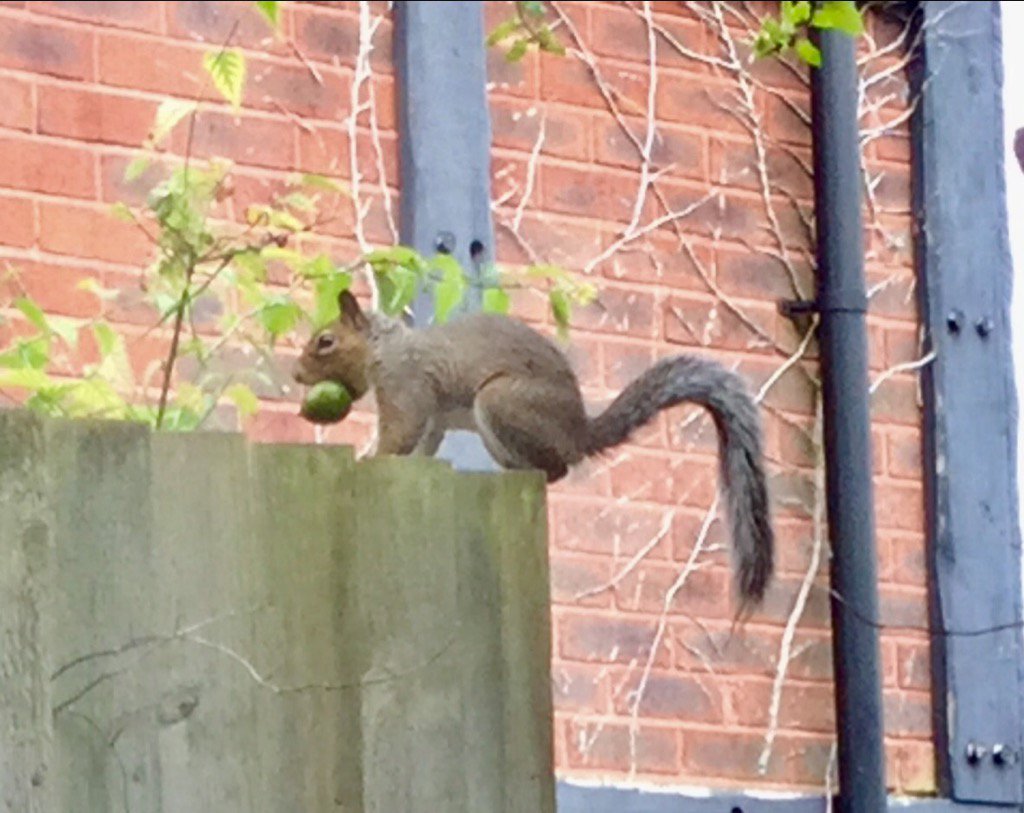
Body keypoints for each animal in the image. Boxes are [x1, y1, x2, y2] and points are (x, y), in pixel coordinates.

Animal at [294, 290, 774, 610]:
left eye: (325, 341)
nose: (297, 374)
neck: (387, 346)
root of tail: (578, 432)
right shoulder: (433, 417)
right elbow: (424, 443)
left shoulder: (406, 386)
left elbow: (400, 434)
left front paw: (369, 459)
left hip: (501, 403)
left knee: (555, 469)